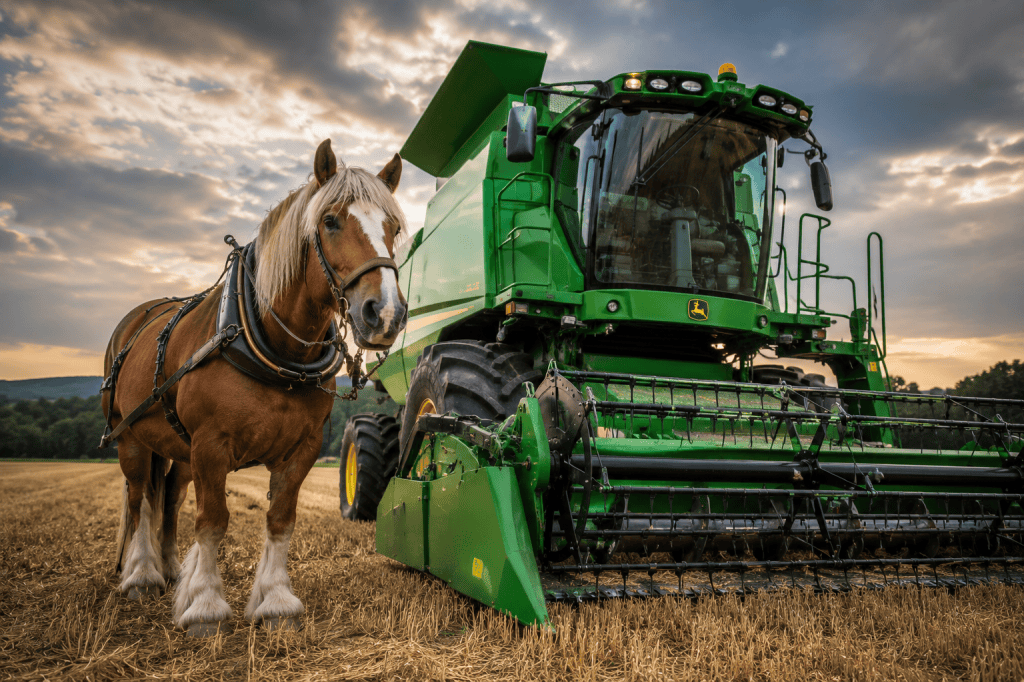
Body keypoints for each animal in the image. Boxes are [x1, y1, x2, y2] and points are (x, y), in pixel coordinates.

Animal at [101, 140, 407, 636]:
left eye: (393, 228)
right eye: (330, 220)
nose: (386, 314)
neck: (272, 344)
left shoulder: (302, 447)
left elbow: (280, 519)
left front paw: (276, 601)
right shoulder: (210, 444)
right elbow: (212, 520)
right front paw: (206, 605)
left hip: (175, 447)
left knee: (168, 497)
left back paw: (170, 570)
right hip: (129, 436)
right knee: (139, 498)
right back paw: (142, 575)